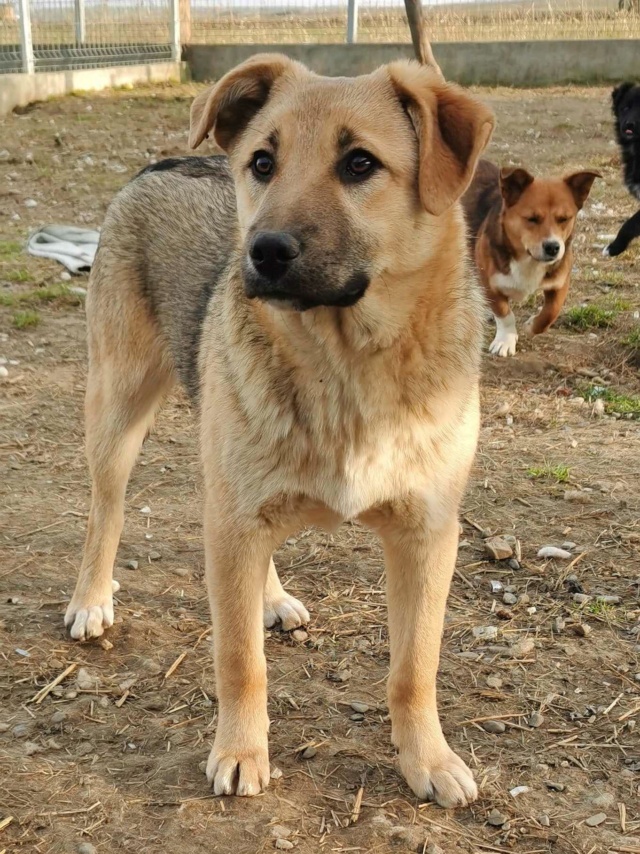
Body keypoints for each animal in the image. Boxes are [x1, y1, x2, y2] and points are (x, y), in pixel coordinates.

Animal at [65, 53, 496, 808]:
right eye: (263, 163)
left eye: (360, 163)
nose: (263, 251)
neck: (347, 368)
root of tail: (169, 160)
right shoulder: (235, 522)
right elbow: (240, 659)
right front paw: (241, 751)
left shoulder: (427, 534)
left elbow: (414, 667)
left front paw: (429, 757)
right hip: (119, 411)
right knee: (106, 511)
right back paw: (92, 598)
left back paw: (269, 596)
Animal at [462, 161, 596, 358]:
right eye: (532, 218)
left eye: (564, 219)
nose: (553, 247)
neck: (529, 260)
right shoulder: (490, 284)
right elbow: (505, 313)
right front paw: (506, 340)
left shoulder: (560, 283)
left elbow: (550, 312)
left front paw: (531, 326)